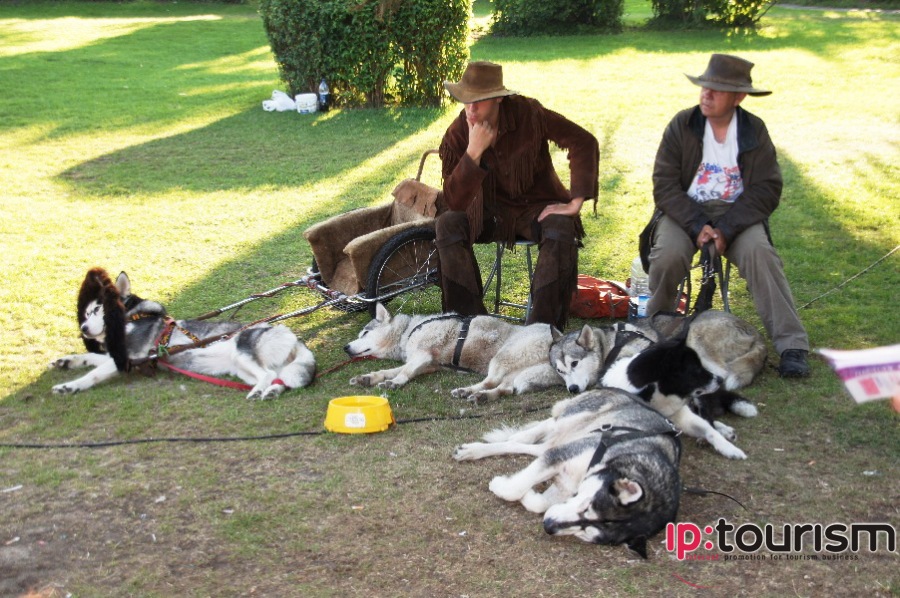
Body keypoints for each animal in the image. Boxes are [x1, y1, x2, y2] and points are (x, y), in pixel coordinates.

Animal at [50, 268, 316, 399]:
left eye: (98, 310)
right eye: (86, 313)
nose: (83, 329)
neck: (131, 318)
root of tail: (295, 338)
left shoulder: (126, 359)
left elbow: (92, 374)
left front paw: (69, 386)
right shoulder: (120, 357)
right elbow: (90, 358)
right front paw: (65, 361)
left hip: (243, 351)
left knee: (268, 375)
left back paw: (260, 391)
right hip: (246, 370)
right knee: (279, 379)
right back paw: (270, 391)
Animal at [344, 303, 561, 402]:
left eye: (364, 333)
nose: (345, 348)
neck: (407, 331)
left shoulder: (422, 355)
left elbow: (403, 372)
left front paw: (394, 383)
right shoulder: (426, 365)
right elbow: (389, 371)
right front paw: (368, 378)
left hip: (502, 358)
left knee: (490, 381)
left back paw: (467, 391)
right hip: (517, 371)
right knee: (506, 389)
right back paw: (480, 396)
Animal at [453, 389, 682, 557]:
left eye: (587, 532)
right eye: (586, 507)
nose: (548, 526)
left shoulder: (564, 479)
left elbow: (539, 503)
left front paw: (529, 494)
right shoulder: (563, 455)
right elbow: (515, 489)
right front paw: (500, 485)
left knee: (534, 447)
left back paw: (477, 450)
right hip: (577, 417)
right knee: (545, 426)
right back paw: (511, 438)